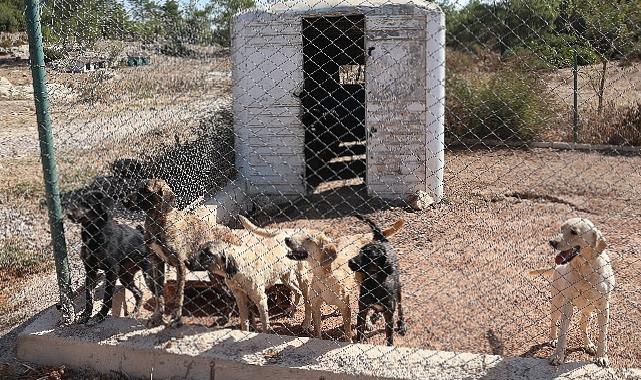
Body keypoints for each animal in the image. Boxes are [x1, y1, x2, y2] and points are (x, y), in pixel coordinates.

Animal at [125, 180, 242, 328]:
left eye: (146, 190)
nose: (124, 200)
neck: (158, 221)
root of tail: (236, 237)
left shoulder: (180, 265)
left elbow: (178, 295)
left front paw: (176, 318)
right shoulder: (156, 262)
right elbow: (159, 294)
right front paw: (157, 317)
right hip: (216, 276)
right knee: (229, 296)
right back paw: (224, 319)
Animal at [240, 217, 404, 342]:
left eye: (309, 239)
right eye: (298, 233)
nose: (287, 239)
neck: (323, 276)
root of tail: (362, 236)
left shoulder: (346, 308)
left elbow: (347, 331)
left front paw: (350, 342)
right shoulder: (316, 307)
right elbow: (317, 330)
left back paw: (369, 322)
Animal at [348, 215, 408, 346]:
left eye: (369, 257)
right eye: (360, 252)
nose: (350, 261)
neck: (374, 283)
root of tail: (381, 239)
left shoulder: (389, 316)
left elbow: (389, 337)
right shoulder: (362, 310)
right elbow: (360, 332)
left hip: (398, 290)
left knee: (400, 307)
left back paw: (401, 324)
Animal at [528, 218, 616, 366]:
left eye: (574, 232)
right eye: (561, 229)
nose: (551, 242)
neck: (585, 269)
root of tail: (556, 267)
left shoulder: (603, 307)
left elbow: (603, 335)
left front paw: (601, 356)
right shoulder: (567, 305)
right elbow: (563, 333)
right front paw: (558, 356)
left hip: (588, 310)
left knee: (582, 325)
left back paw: (588, 344)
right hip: (557, 303)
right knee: (553, 322)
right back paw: (553, 338)